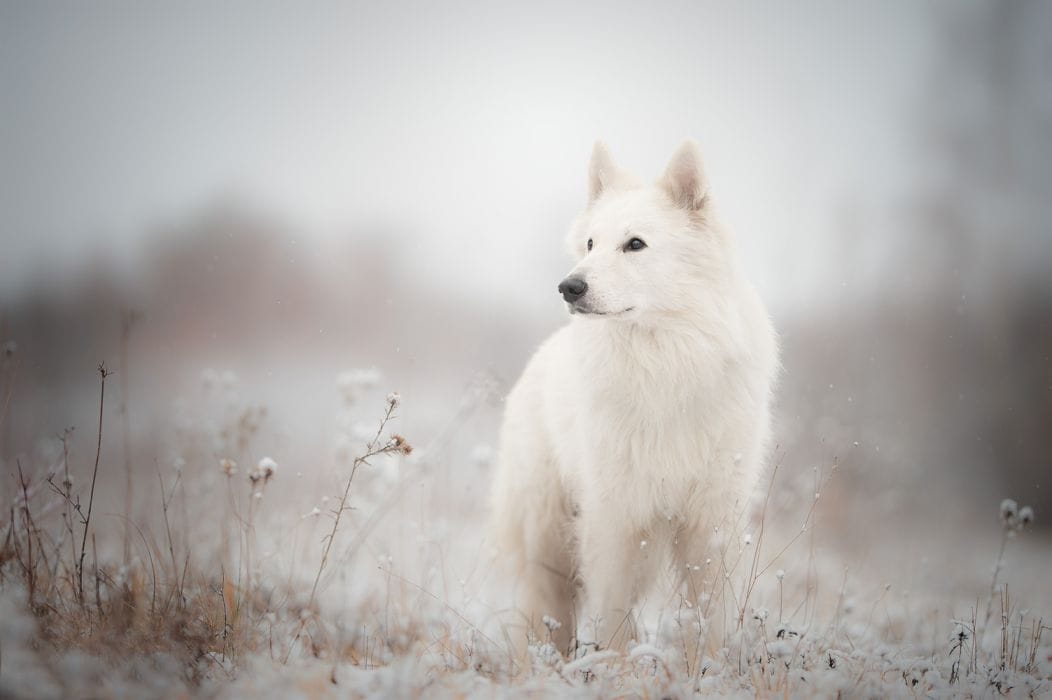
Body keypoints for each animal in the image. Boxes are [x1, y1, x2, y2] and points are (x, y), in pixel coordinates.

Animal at [488, 138, 778, 652]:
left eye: (635, 244)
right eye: (590, 244)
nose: (568, 286)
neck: (664, 364)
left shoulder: (710, 519)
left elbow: (711, 615)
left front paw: (708, 663)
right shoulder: (616, 518)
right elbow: (613, 616)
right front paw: (614, 664)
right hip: (548, 536)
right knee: (545, 609)